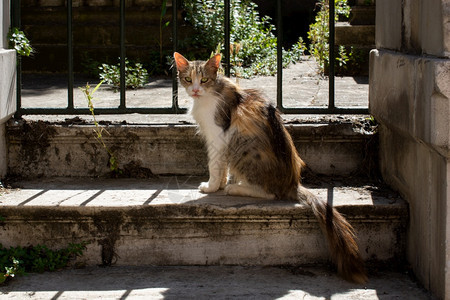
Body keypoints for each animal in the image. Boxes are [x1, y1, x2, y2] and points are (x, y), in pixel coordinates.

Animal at [174, 51, 368, 284]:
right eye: (187, 79)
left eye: (203, 80)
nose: (195, 89)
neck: (211, 93)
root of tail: (292, 184)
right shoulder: (219, 142)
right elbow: (222, 168)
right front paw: (219, 184)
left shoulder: (218, 136)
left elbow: (215, 164)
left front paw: (212, 187)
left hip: (243, 147)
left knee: (270, 194)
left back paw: (236, 188)